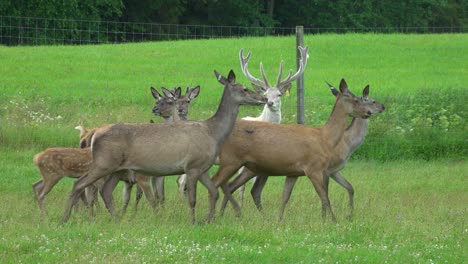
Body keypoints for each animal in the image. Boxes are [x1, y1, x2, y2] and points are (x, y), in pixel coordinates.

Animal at [61, 69, 266, 224]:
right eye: (245, 88)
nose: (263, 98)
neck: (213, 133)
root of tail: (94, 134)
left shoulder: (203, 168)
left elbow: (214, 191)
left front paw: (208, 219)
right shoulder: (192, 165)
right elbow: (192, 199)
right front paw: (193, 222)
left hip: (116, 169)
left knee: (105, 191)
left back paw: (117, 219)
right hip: (104, 162)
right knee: (79, 184)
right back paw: (65, 219)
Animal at [212, 78, 384, 221]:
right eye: (357, 100)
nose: (368, 112)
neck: (325, 139)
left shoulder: (294, 172)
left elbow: (286, 196)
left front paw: (279, 219)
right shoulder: (315, 168)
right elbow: (325, 197)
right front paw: (333, 221)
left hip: (251, 167)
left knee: (234, 186)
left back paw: (226, 214)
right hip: (234, 161)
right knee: (226, 184)